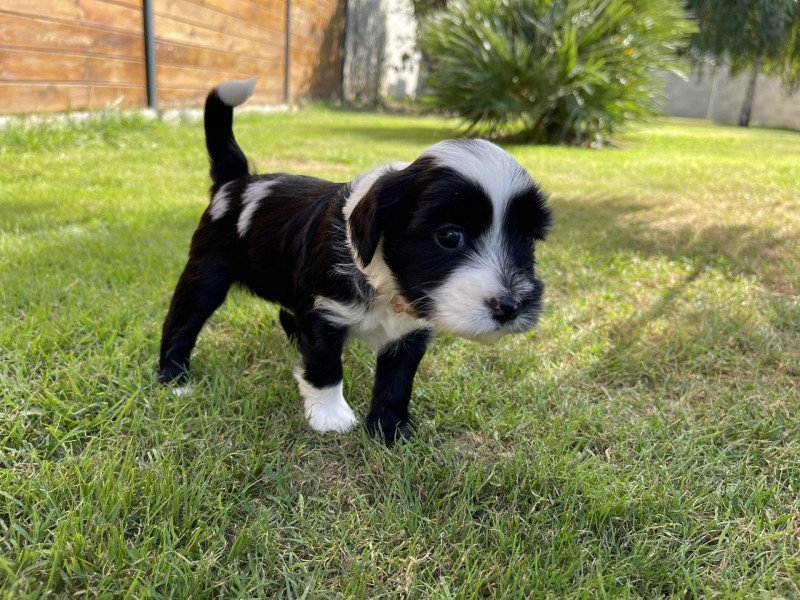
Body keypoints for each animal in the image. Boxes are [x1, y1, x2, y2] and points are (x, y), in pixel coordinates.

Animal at [159, 79, 552, 442]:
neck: (384, 285)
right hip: (206, 273)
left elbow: (397, 379)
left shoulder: (410, 332)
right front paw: (330, 416)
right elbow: (325, 365)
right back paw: (173, 379)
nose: (511, 305)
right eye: (450, 236)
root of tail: (236, 181)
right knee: (183, 320)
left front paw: (389, 428)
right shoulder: (323, 311)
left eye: (527, 239)